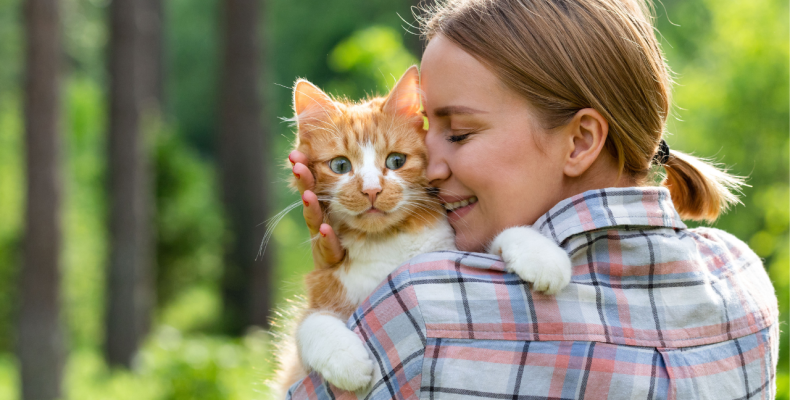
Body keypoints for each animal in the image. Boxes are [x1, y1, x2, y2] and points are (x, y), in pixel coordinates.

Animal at [276, 67, 572, 396]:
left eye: (396, 161)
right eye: (340, 165)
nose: (371, 190)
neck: (387, 243)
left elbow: (500, 237)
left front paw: (542, 256)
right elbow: (310, 325)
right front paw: (347, 361)